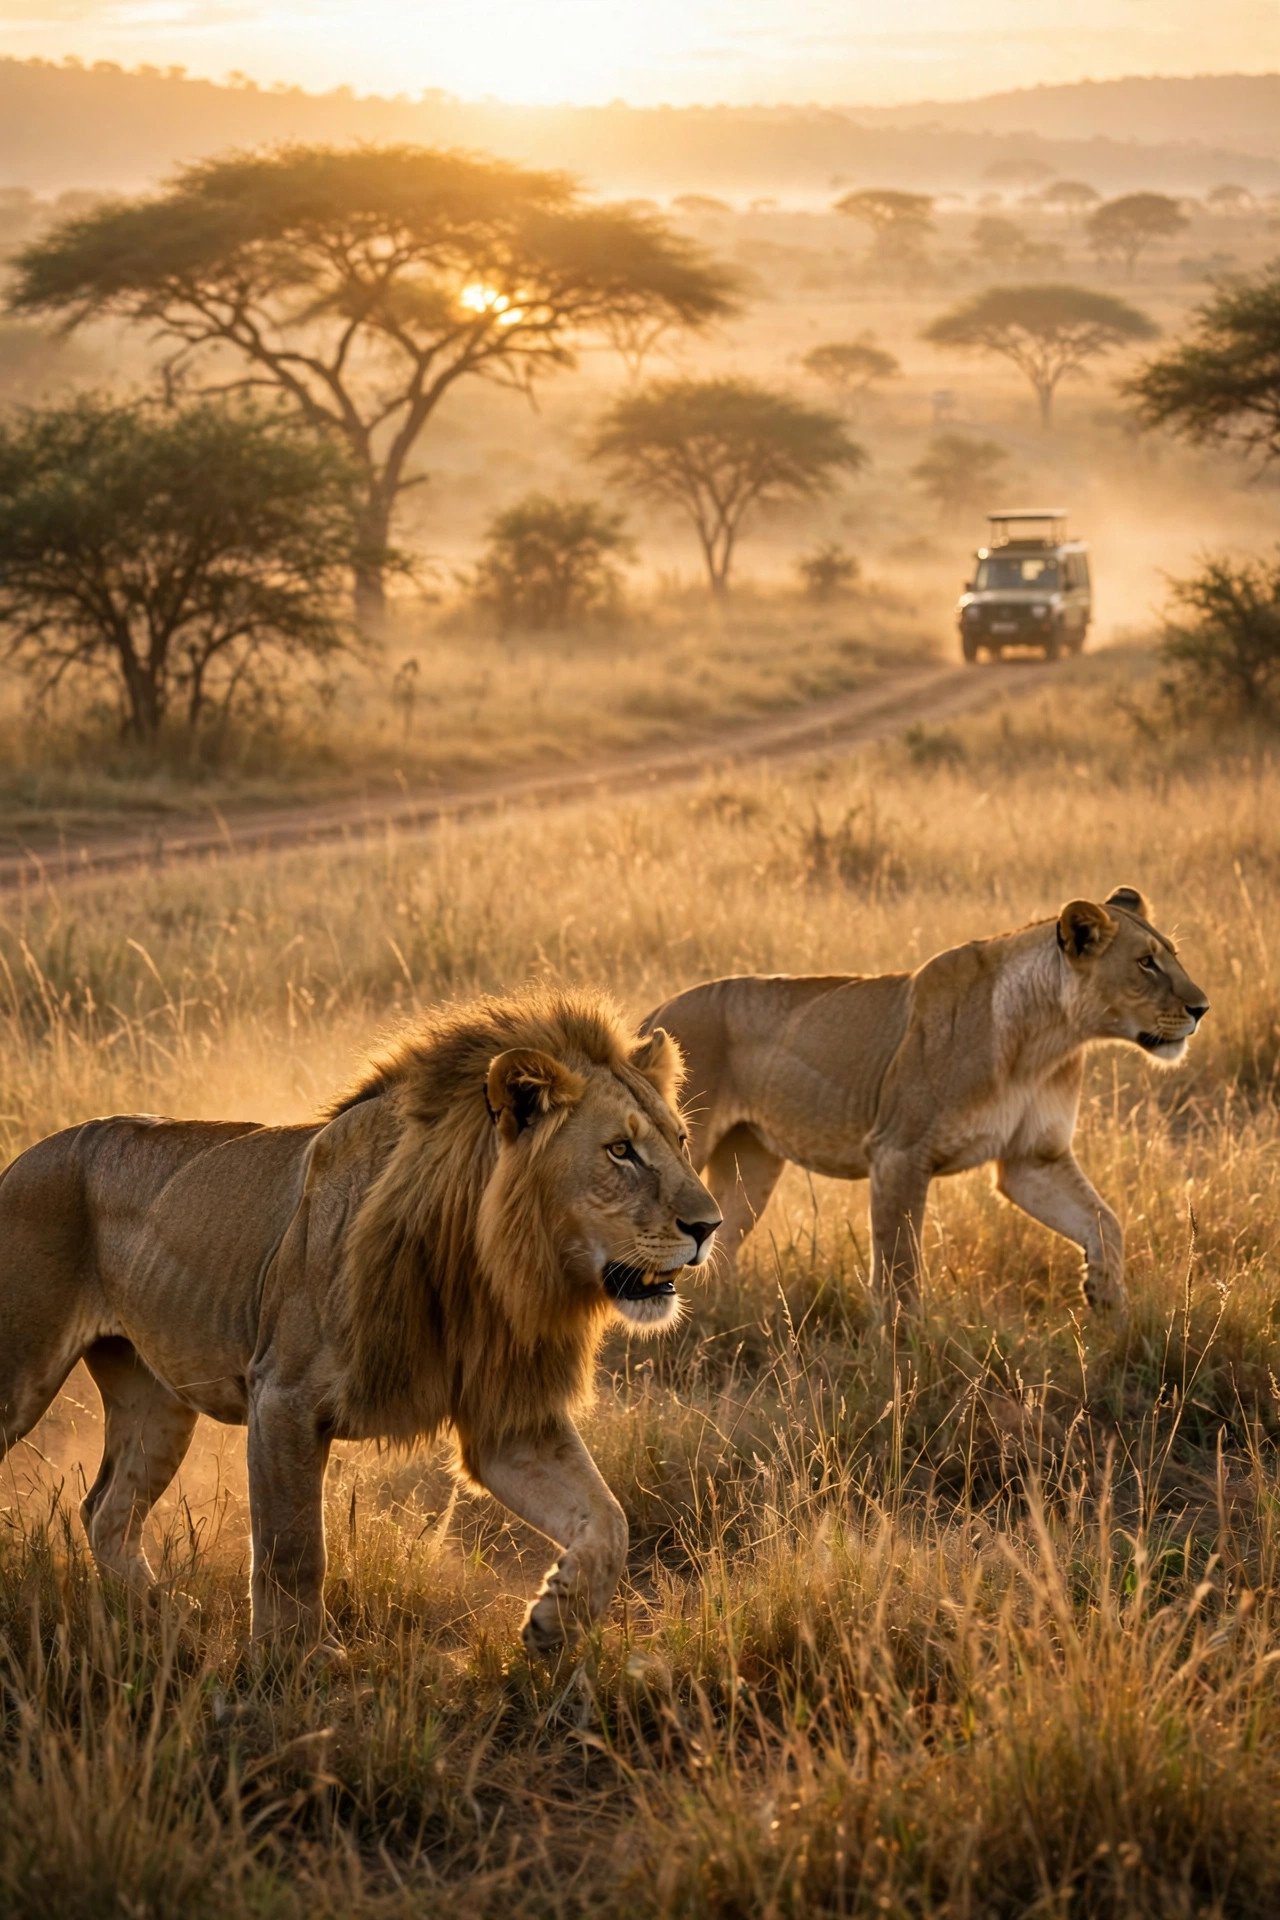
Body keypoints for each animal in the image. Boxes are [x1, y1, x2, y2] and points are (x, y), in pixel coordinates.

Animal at [0, 987, 721, 1656]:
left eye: (681, 1142)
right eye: (620, 1150)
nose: (709, 1226)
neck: (486, 1264)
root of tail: (24, 1156)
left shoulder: (508, 1421)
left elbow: (608, 1518)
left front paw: (556, 1619)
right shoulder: (281, 1398)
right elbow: (293, 1549)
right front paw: (294, 1665)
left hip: (155, 1399)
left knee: (106, 1513)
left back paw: (170, 1623)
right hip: (21, 1375)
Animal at [646, 888, 1207, 1314]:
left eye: (1175, 955)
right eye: (1146, 963)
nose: (1202, 1007)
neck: (1047, 1040)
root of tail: (657, 1010)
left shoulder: (1033, 1160)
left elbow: (1104, 1221)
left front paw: (1107, 1299)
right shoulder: (899, 1153)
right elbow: (900, 1274)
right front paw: (901, 1357)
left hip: (751, 1159)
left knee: (724, 1246)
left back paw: (727, 1317)